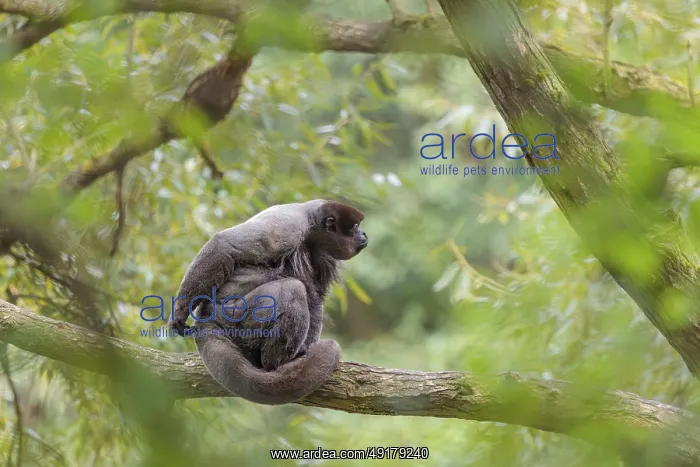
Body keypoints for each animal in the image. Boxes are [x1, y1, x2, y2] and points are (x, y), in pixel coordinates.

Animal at [167, 199, 368, 405]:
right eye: (355, 226)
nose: (364, 234)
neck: (314, 231)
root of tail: (207, 317)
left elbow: (316, 296)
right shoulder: (289, 226)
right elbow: (224, 245)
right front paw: (179, 314)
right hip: (235, 317)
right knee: (293, 288)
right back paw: (275, 363)